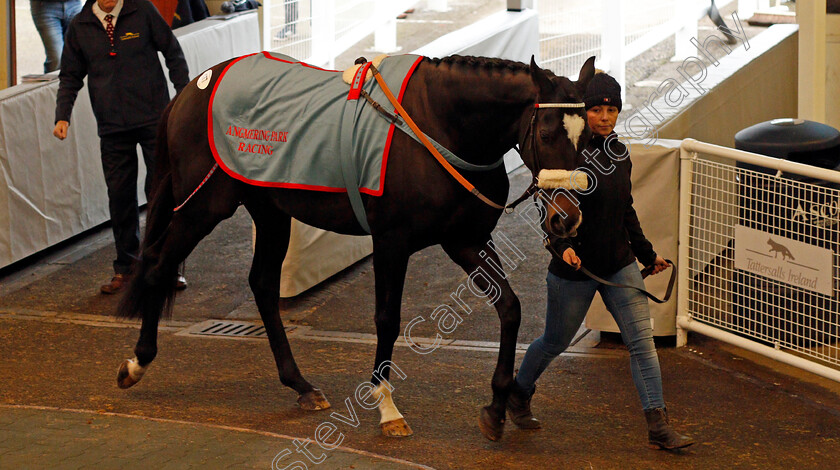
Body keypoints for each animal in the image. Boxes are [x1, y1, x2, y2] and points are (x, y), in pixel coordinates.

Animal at [116, 54, 596, 440]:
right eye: (547, 133)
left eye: (588, 135)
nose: (567, 219)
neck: (437, 125)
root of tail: (193, 88)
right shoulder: (392, 242)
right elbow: (387, 320)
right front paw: (387, 409)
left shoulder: (465, 241)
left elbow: (510, 309)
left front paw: (497, 408)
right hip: (203, 207)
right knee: (157, 264)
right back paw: (136, 363)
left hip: (270, 211)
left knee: (263, 285)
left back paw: (301, 385)